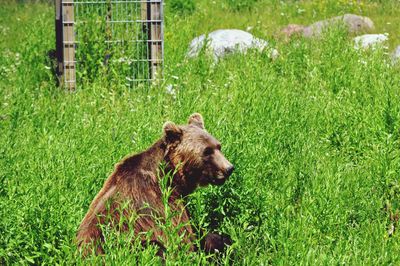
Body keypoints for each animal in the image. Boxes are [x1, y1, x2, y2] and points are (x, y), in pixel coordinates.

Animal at [76, 113, 234, 256]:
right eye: (206, 151)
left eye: (218, 146)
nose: (229, 168)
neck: (172, 177)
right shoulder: (162, 203)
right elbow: (184, 238)